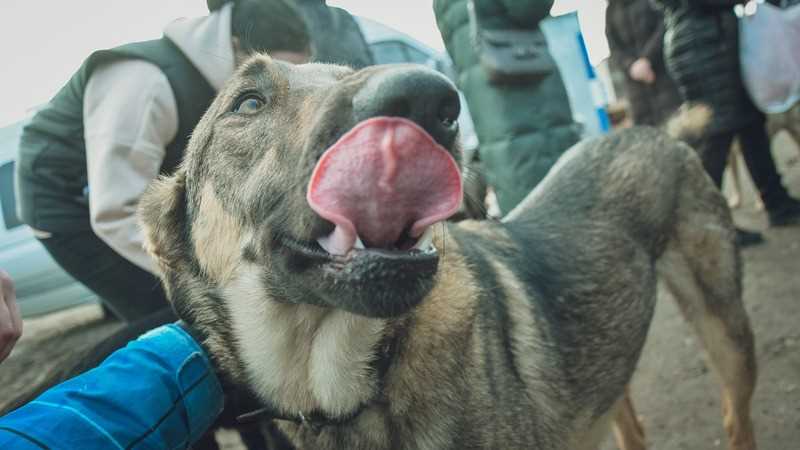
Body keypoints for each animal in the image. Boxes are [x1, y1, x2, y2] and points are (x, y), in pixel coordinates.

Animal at [141, 56, 760, 450]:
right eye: (247, 102)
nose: (428, 98)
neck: (353, 389)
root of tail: (656, 132)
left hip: (725, 328)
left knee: (737, 419)